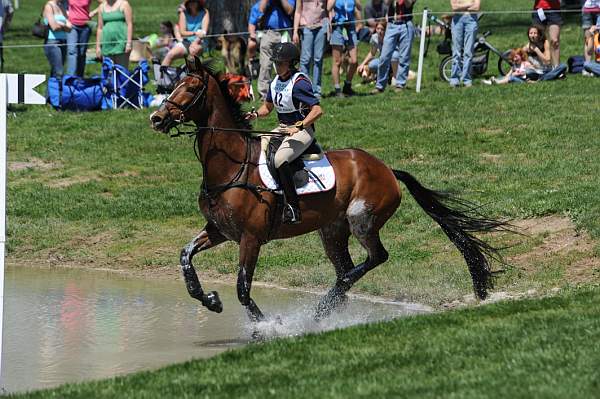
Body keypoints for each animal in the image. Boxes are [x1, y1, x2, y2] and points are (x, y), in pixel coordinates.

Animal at [150, 56, 506, 324]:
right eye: (172, 84)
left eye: (190, 87)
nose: (156, 118)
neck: (231, 165)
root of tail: (387, 170)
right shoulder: (219, 230)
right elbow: (185, 257)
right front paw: (210, 299)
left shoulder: (250, 239)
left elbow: (242, 288)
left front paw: (266, 326)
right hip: (332, 230)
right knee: (347, 267)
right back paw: (328, 307)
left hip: (362, 219)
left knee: (374, 258)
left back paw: (323, 306)